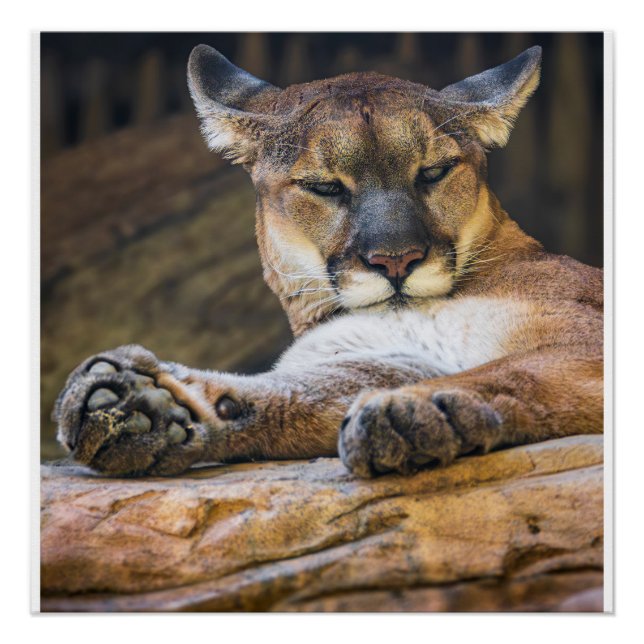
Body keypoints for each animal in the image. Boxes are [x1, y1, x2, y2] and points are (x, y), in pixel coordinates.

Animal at [53, 44, 603, 478]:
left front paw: (412, 408)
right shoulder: (375, 356)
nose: (396, 260)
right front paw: (150, 409)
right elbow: (303, 393)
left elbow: (512, 371)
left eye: (434, 171)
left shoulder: (581, 337)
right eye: (325, 187)